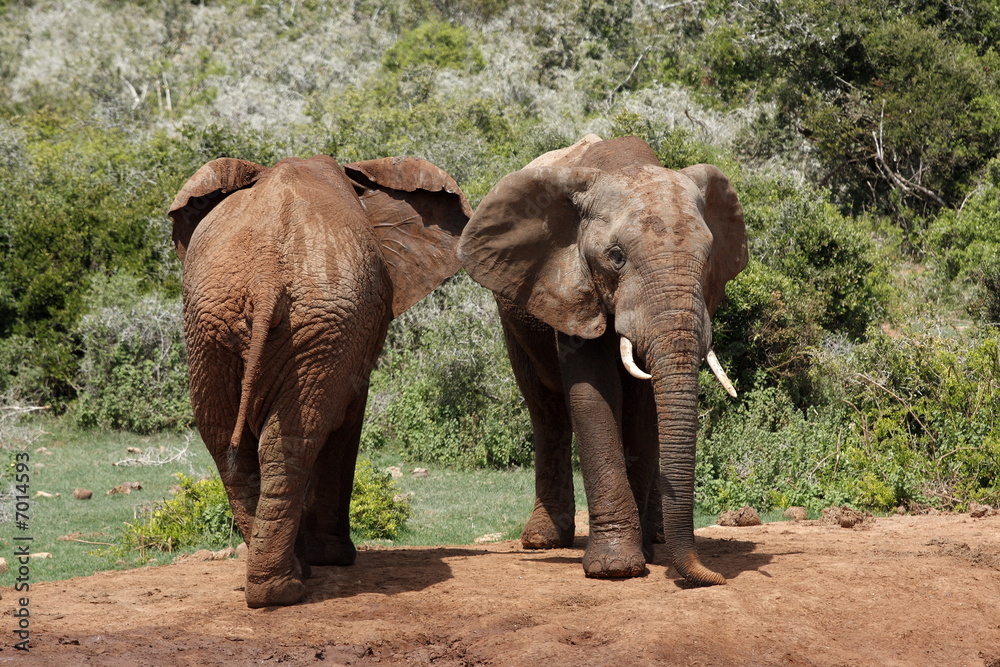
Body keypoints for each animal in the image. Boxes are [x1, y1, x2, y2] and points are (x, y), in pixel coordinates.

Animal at [168, 154, 471, 607]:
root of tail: (264, 277)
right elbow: (347, 422)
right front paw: (336, 560)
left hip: (222, 325)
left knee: (235, 441)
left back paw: (277, 585)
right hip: (305, 324)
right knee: (295, 438)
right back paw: (286, 589)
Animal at [457, 134, 747, 585]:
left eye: (709, 257)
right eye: (616, 257)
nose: (714, 577)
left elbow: (644, 410)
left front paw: (642, 552)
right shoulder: (571, 284)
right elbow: (594, 393)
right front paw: (617, 568)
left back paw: (658, 536)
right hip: (514, 318)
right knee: (545, 410)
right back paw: (542, 540)